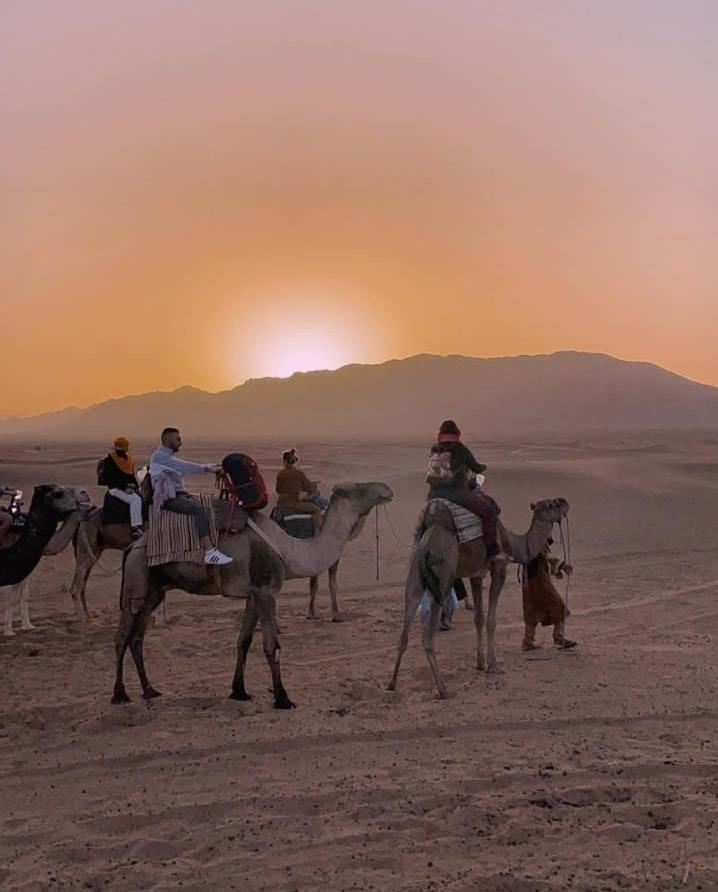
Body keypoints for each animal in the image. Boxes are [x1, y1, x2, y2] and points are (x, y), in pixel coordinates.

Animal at [112, 484, 394, 708]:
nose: (387, 489)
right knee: (122, 636)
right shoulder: (266, 591)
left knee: (137, 637)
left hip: (154, 591)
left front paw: (239, 691)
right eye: (361, 489)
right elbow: (272, 646)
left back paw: (150, 689)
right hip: (137, 583)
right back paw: (120, 694)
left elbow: (243, 641)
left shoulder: (252, 595)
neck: (289, 549)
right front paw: (283, 698)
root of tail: (132, 546)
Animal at [390, 494, 572, 696]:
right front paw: (493, 666)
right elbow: (491, 620)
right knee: (428, 637)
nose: (565, 502)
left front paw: (480, 663)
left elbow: (478, 618)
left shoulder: (476, 574)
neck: (512, 542)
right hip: (443, 576)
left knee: (405, 626)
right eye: (553, 504)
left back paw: (392, 684)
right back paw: (442, 689)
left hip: (415, 573)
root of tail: (427, 542)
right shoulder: (499, 567)